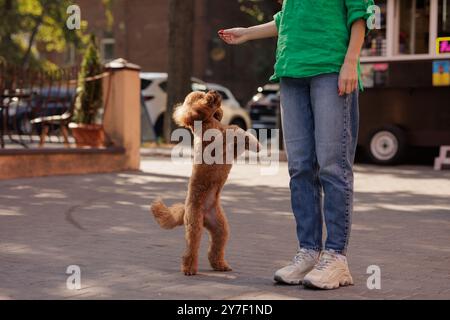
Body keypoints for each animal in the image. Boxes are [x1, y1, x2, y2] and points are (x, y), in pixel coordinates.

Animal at [150, 90, 260, 276]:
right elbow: (232, 129)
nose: (215, 92)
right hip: (194, 225)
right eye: (202, 97)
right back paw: (189, 268)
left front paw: (254, 143)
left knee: (215, 247)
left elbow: (236, 133)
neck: (207, 121)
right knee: (191, 248)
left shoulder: (231, 149)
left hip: (220, 227)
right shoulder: (216, 145)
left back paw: (220, 265)